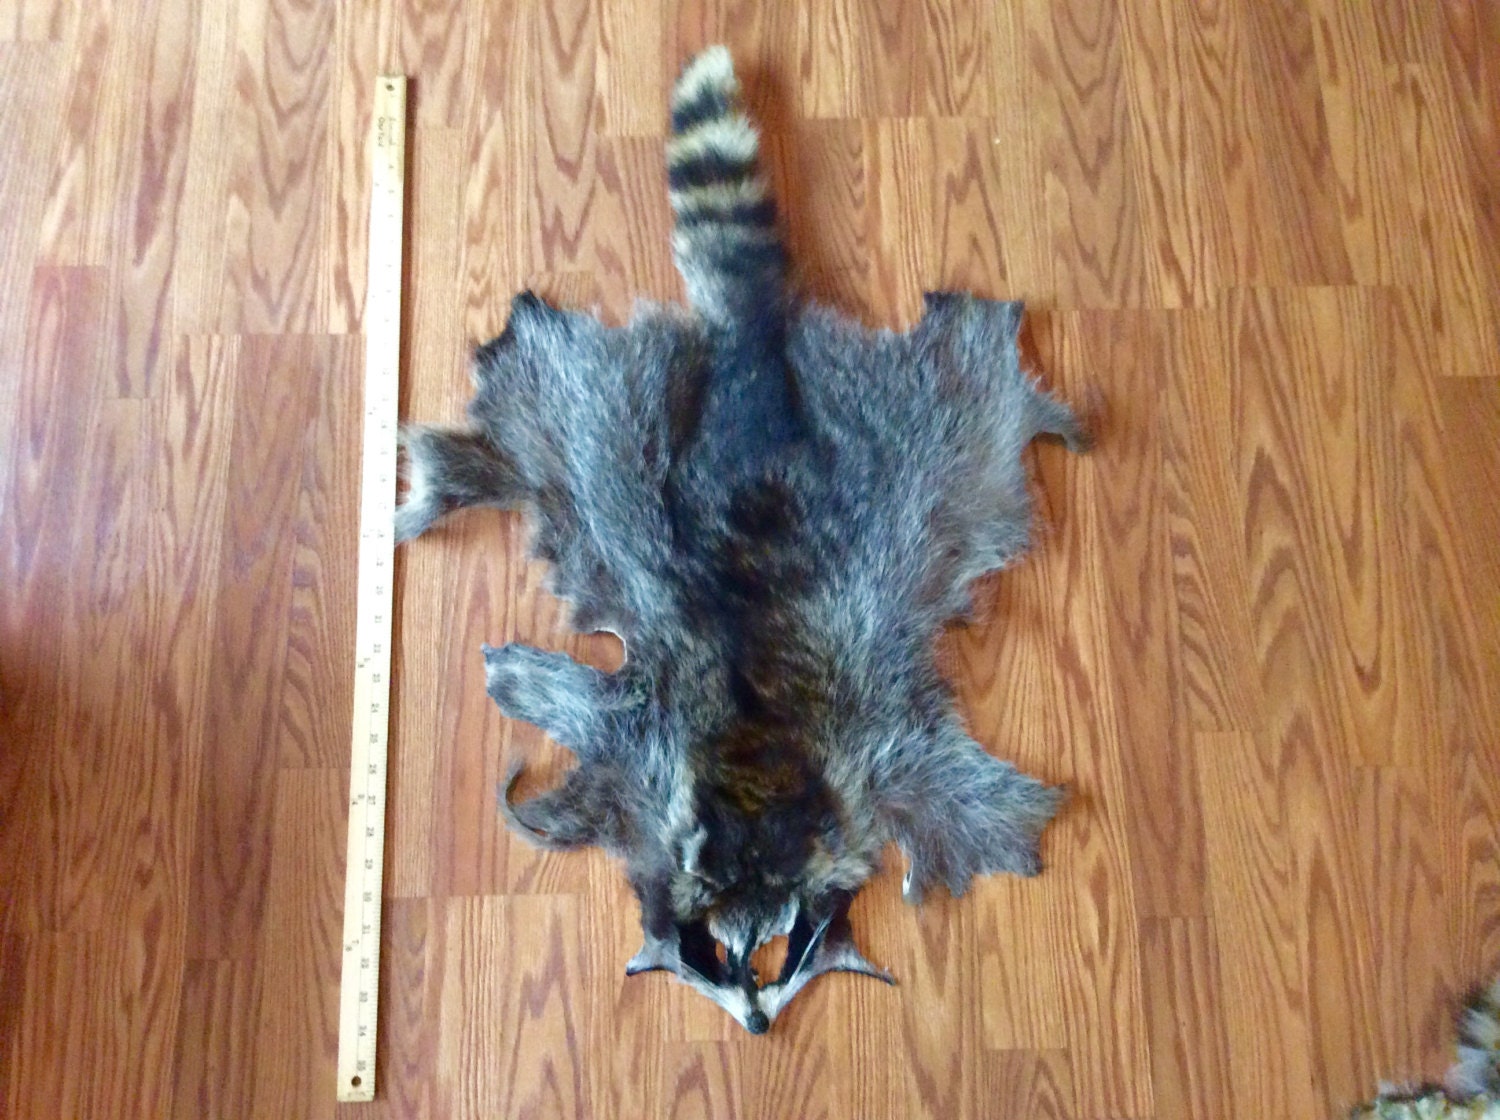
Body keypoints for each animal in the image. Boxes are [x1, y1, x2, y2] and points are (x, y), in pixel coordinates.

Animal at [395, 46, 1091, 1032]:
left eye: (783, 951)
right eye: (716, 957)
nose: (760, 1024)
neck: (761, 806)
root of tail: (755, 379)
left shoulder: (879, 756)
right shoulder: (646, 755)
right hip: (613, 432)